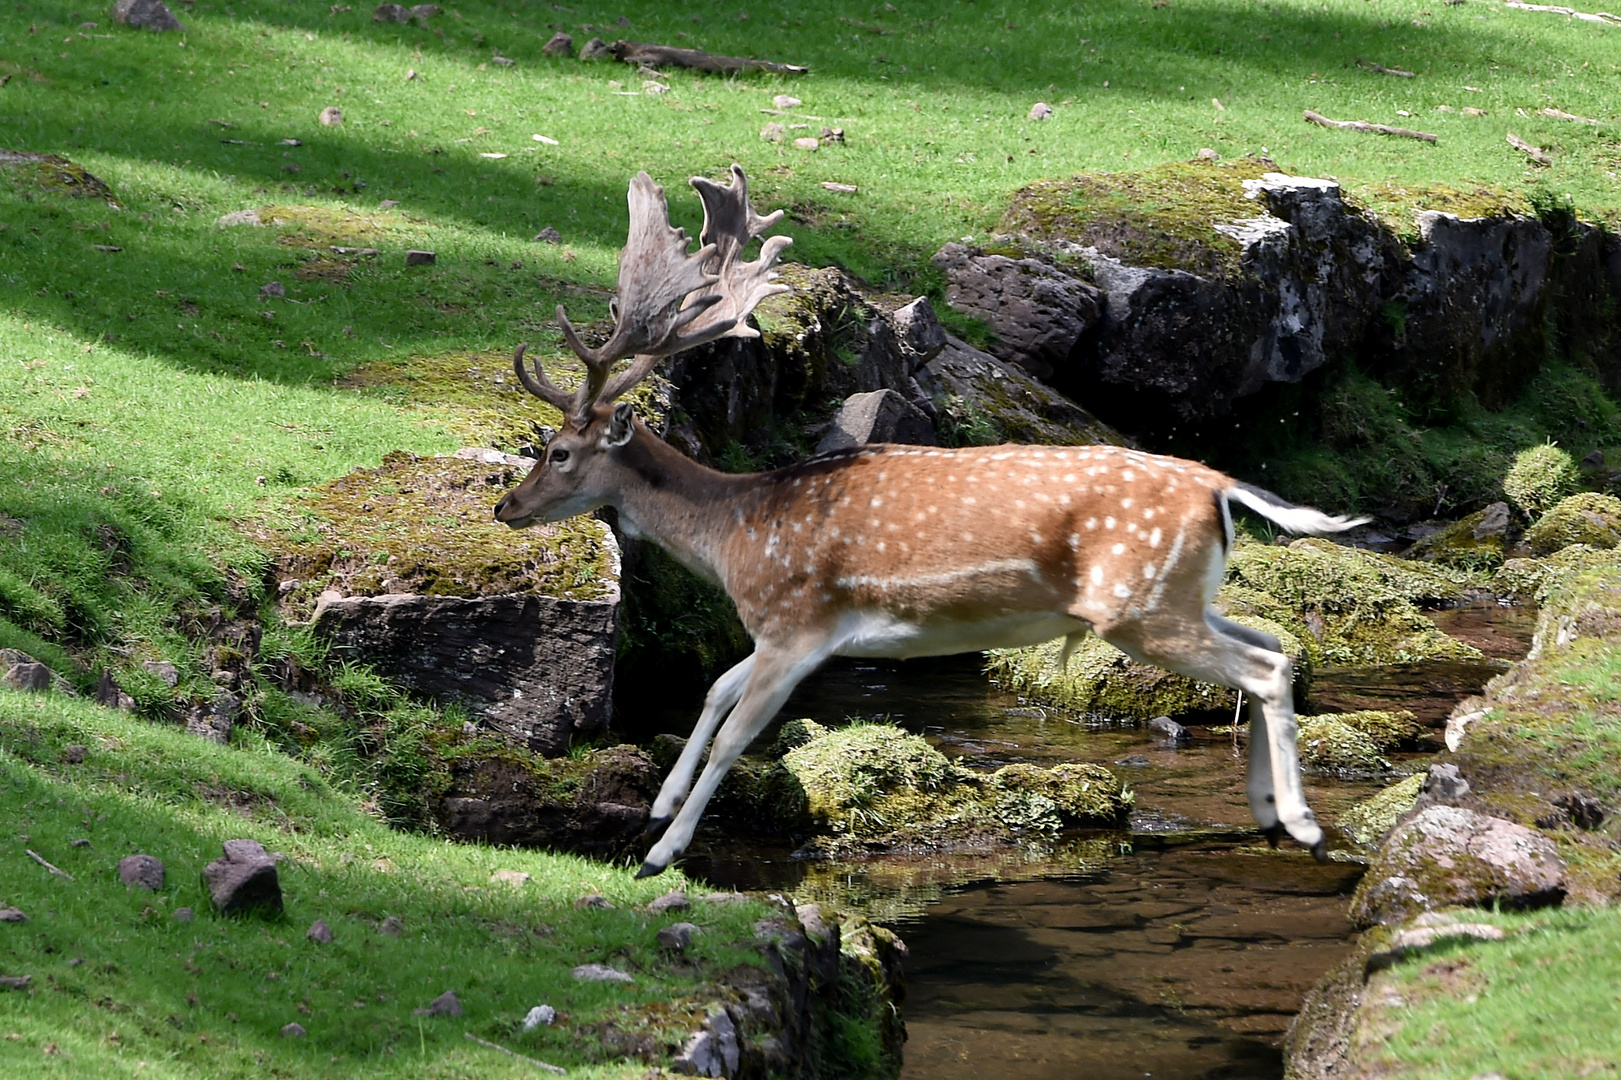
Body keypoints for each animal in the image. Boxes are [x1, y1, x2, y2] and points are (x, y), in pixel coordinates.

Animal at [492, 166, 1368, 875]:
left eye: (559, 451)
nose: (506, 506)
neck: (737, 531)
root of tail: (1219, 482)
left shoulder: (798, 620)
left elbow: (739, 732)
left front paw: (662, 851)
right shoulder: (783, 632)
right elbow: (711, 691)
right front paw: (659, 805)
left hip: (1136, 606)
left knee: (1264, 666)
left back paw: (1300, 821)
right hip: (1180, 594)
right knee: (1271, 642)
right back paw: (1265, 810)